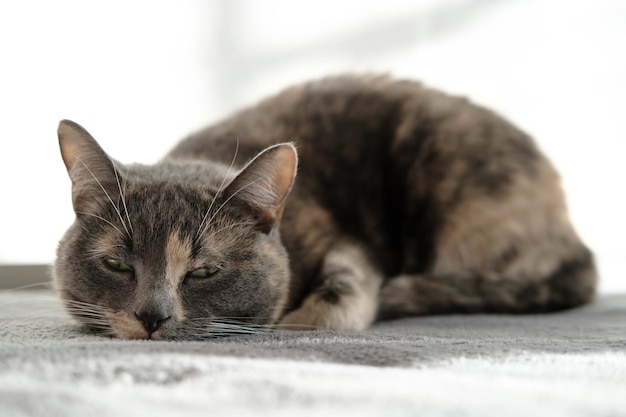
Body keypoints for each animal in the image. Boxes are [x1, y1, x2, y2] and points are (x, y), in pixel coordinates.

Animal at [53, 75, 596, 340]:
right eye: (117, 265)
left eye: (205, 272)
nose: (152, 316)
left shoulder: (347, 244)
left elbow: (337, 297)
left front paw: (299, 320)